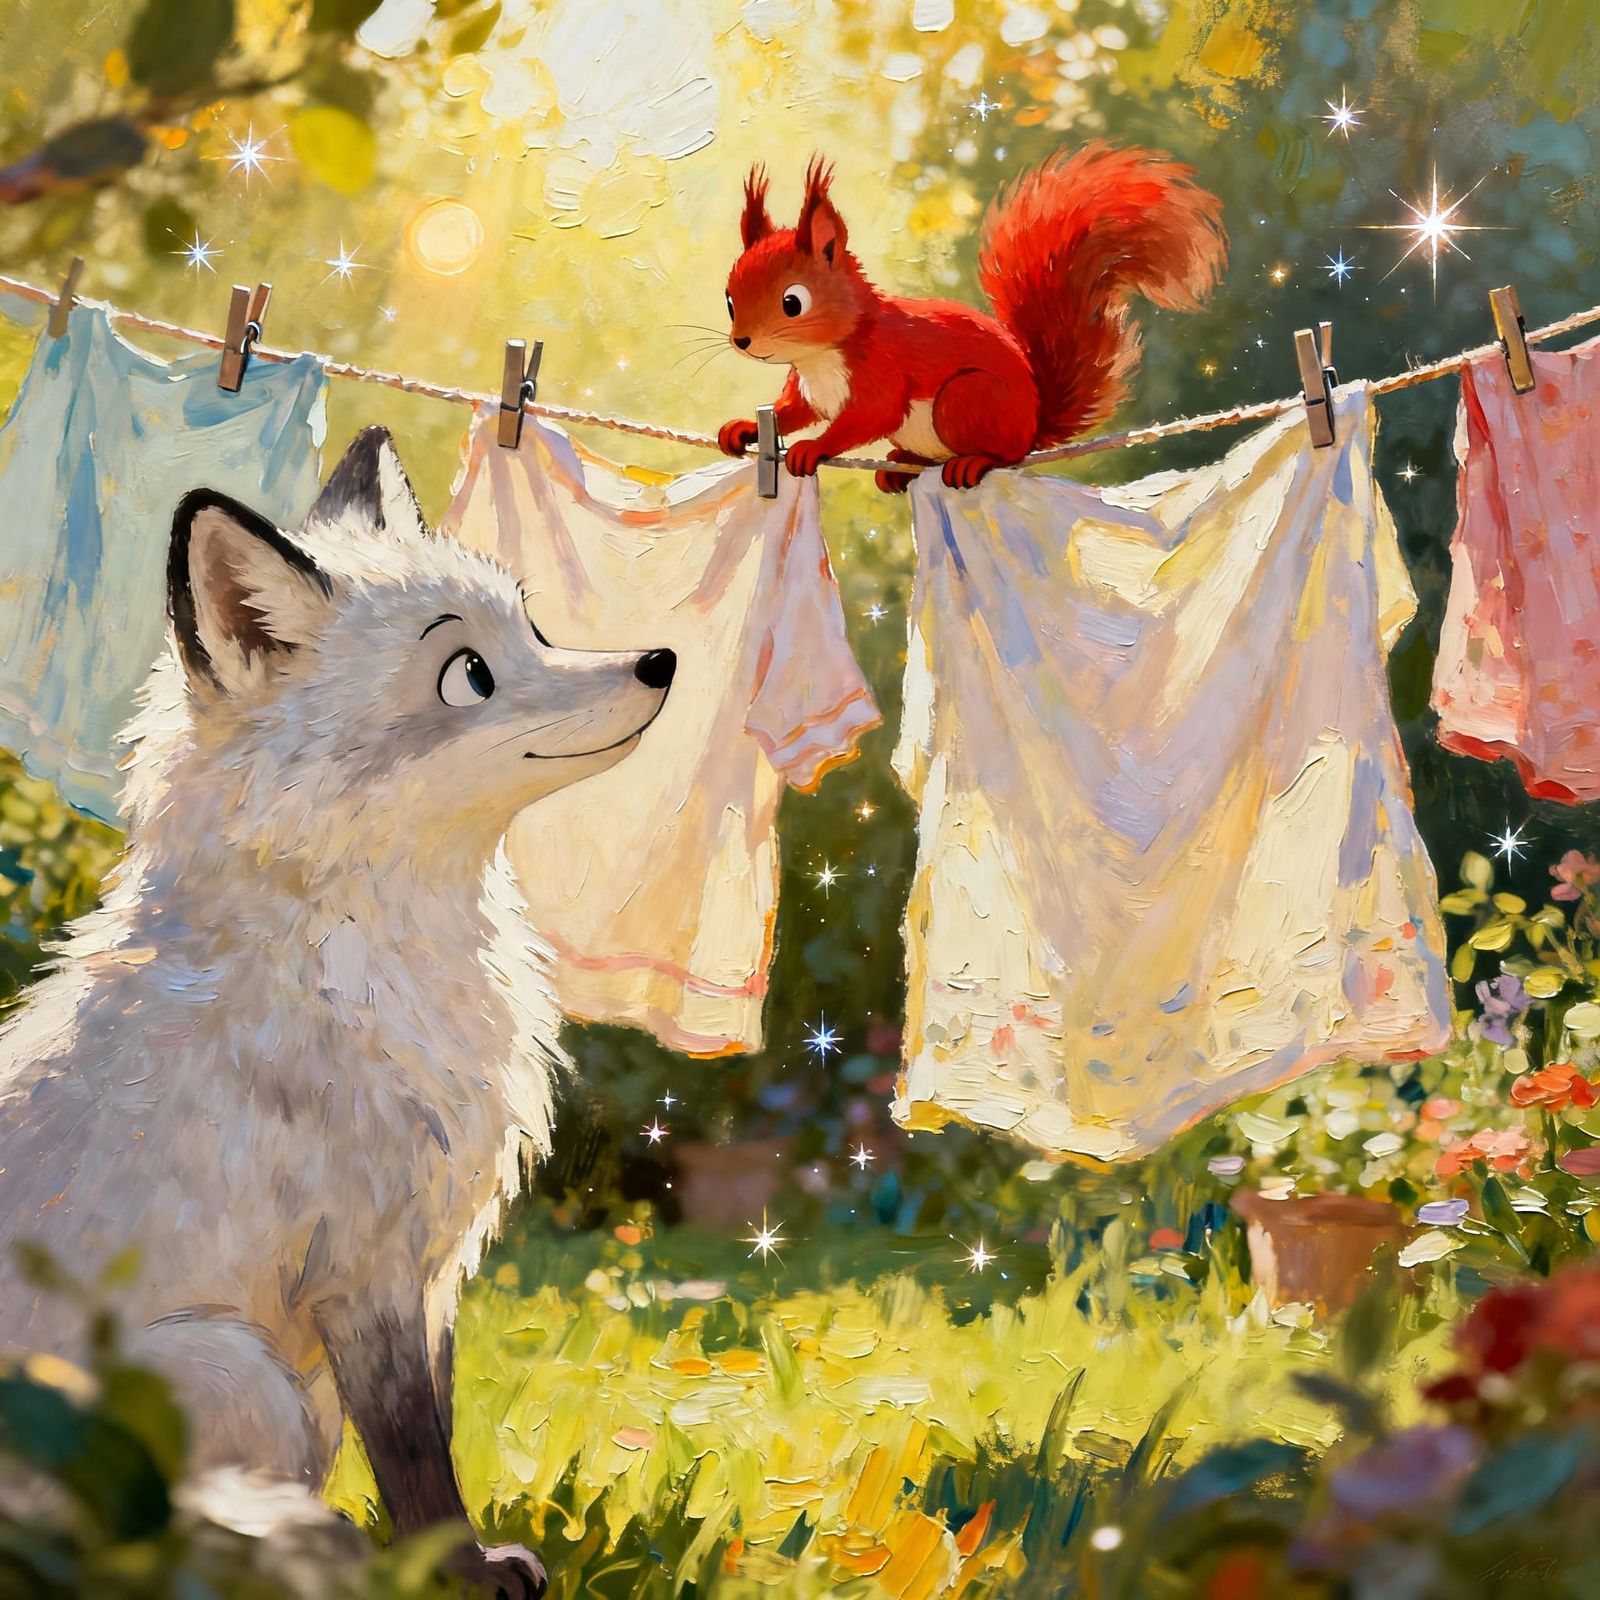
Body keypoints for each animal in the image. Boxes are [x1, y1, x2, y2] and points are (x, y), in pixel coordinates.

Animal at [0, 427, 678, 1596]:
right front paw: (454, 1577)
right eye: (469, 674)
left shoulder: (432, 1266)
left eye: (535, 630)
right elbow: (414, 1455)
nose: (659, 663)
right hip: (247, 1376)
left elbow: (432, 1435)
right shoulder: (363, 1265)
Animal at [717, 145, 1228, 492]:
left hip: (967, 401)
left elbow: (868, 415)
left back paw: (971, 463)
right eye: (729, 298)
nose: (742, 342)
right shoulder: (807, 389)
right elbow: (791, 410)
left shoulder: (881, 369)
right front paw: (743, 428)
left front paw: (815, 447)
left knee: (1005, 455)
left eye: (793, 302)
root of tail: (1034, 424)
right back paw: (900, 465)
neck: (819, 357)